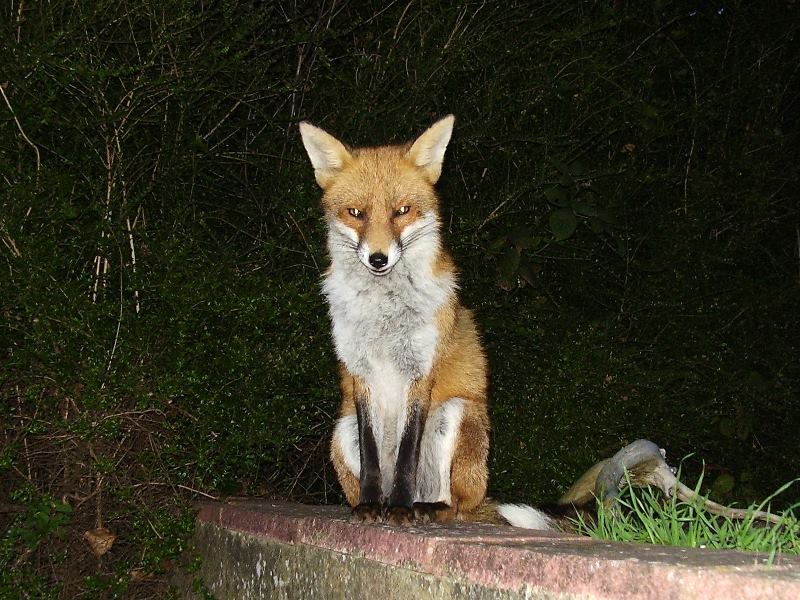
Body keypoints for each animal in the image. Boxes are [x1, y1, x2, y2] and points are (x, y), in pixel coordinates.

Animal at [298, 115, 553, 529]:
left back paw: (424, 507)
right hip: (341, 430)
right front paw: (370, 505)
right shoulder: (360, 372)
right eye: (356, 213)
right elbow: (373, 457)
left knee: (454, 505)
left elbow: (407, 454)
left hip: (455, 414)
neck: (384, 313)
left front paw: (401, 510)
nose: (379, 259)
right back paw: (377, 503)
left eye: (402, 210)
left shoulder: (421, 370)